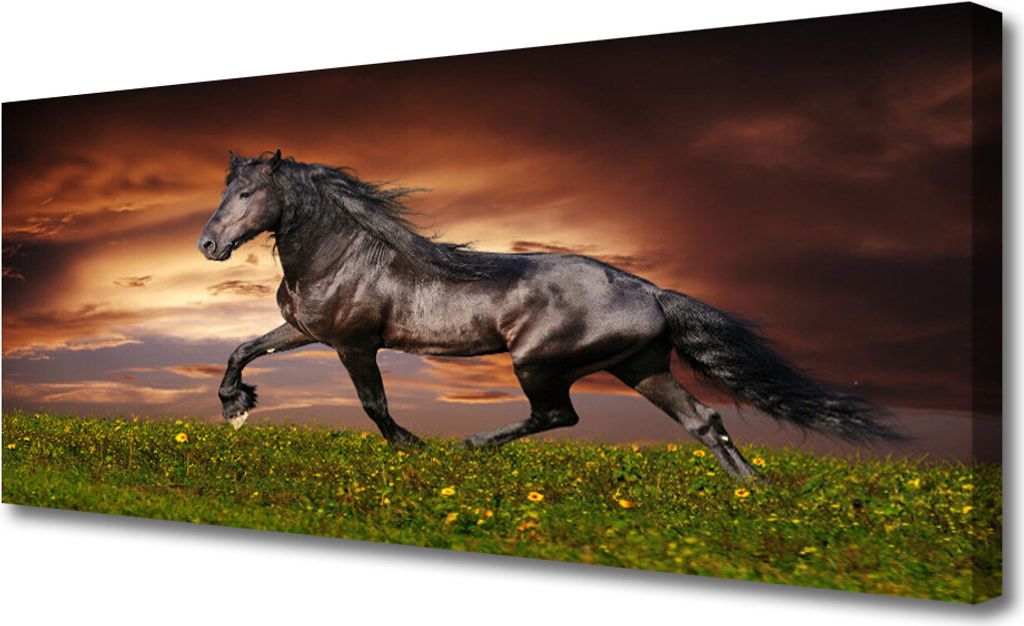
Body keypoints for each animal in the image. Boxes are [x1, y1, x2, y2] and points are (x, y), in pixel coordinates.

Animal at [197, 150, 900, 481]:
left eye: (248, 193)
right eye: (225, 190)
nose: (207, 245)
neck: (344, 254)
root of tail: (650, 290)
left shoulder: (352, 343)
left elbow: (374, 405)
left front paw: (414, 448)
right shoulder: (305, 331)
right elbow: (241, 350)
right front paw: (236, 406)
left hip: (539, 362)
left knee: (558, 415)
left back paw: (471, 446)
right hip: (641, 368)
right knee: (705, 420)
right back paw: (756, 493)